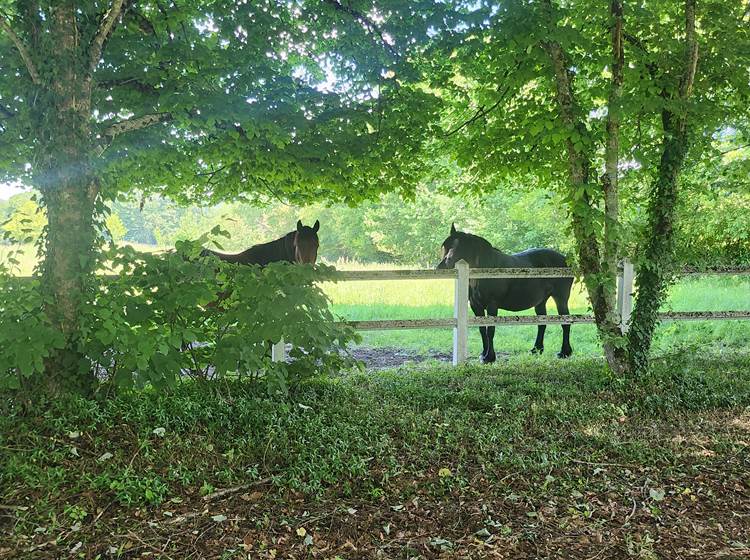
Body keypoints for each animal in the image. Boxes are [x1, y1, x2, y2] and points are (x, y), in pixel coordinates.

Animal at [434, 223, 576, 364]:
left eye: (456, 247)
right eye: (445, 247)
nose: (440, 268)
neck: (485, 270)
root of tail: (566, 260)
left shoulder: (492, 305)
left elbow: (490, 330)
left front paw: (489, 357)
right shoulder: (476, 305)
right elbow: (482, 329)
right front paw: (483, 355)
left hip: (561, 298)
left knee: (565, 323)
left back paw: (564, 352)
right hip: (540, 302)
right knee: (542, 323)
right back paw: (536, 350)